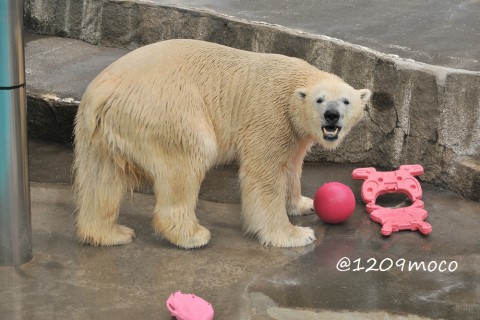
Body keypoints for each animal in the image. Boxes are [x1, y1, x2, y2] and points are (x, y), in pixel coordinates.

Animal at [73, 40, 372, 249]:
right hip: (165, 109)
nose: (331, 115)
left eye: (346, 101)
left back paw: (110, 234)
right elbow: (264, 173)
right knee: (188, 160)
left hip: (101, 129)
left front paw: (302, 204)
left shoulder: (294, 131)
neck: (293, 83)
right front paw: (295, 235)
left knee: (102, 178)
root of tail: (102, 90)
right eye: (320, 99)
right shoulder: (270, 113)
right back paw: (192, 236)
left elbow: (291, 165)